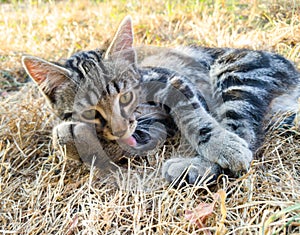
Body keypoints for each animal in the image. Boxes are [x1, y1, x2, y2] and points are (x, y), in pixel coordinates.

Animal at [22, 15, 298, 185]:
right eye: (91, 112)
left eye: (126, 96)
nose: (120, 130)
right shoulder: (149, 128)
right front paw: (76, 139)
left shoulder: (172, 80)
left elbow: (193, 116)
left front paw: (219, 144)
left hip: (236, 73)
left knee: (244, 131)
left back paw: (198, 164)